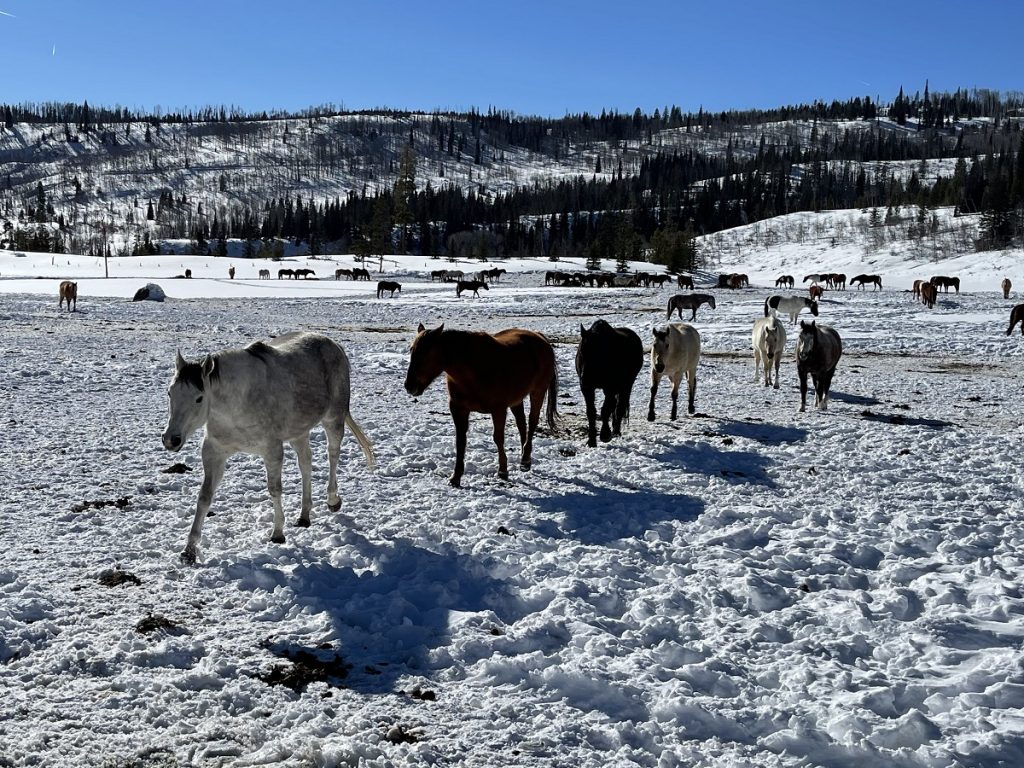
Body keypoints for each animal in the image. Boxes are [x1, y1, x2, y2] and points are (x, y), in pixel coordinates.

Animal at [162, 331, 376, 565]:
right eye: (170, 393)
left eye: (199, 398)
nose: (171, 439)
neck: (237, 403)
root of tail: (333, 344)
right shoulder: (214, 452)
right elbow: (204, 496)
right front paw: (189, 550)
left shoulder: (271, 450)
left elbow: (274, 489)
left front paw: (278, 533)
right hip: (299, 432)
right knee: (306, 464)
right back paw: (304, 515)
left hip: (333, 419)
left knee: (333, 455)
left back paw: (333, 500)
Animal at [401, 325, 561, 487]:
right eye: (411, 350)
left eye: (427, 352)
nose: (409, 386)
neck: (473, 368)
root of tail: (540, 337)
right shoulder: (458, 409)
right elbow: (460, 441)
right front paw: (456, 477)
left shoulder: (498, 410)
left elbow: (498, 438)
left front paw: (502, 471)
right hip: (517, 400)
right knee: (521, 424)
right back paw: (523, 459)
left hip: (537, 392)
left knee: (532, 422)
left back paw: (526, 459)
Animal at [573, 319, 643, 450]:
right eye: (581, 352)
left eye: (597, 354)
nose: (585, 378)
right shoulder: (587, 389)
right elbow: (591, 412)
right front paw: (591, 441)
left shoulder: (610, 388)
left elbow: (605, 410)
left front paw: (605, 435)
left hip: (627, 385)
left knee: (619, 406)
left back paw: (616, 431)